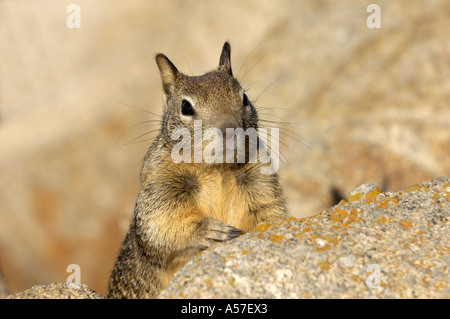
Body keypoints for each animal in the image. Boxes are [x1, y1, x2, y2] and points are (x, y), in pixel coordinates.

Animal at [107, 42, 286, 300]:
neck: (217, 170)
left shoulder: (261, 184)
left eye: (244, 97)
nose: (230, 129)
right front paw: (211, 229)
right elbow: (160, 228)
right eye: (185, 106)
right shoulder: (160, 189)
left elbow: (272, 215)